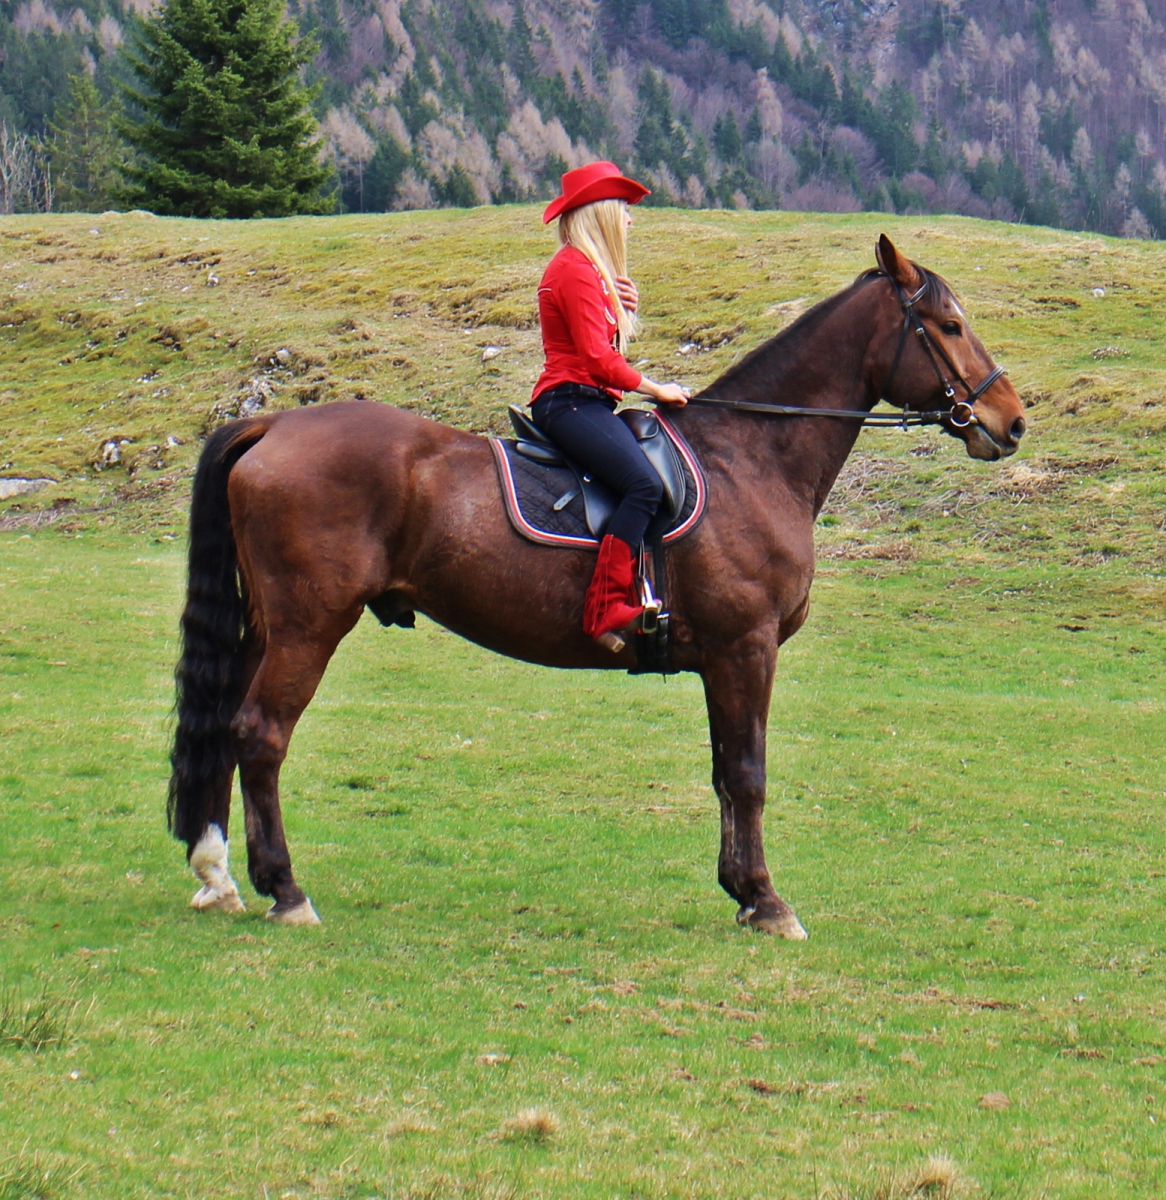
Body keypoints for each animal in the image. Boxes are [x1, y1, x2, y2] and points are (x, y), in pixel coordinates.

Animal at [168, 234, 1026, 938]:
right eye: (948, 325)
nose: (1010, 420)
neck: (750, 456)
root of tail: (273, 425)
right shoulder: (746, 649)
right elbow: (748, 775)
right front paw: (767, 900)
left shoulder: (721, 661)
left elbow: (724, 773)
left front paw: (740, 890)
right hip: (309, 627)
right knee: (261, 735)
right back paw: (285, 890)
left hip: (267, 628)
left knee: (225, 729)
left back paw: (219, 875)